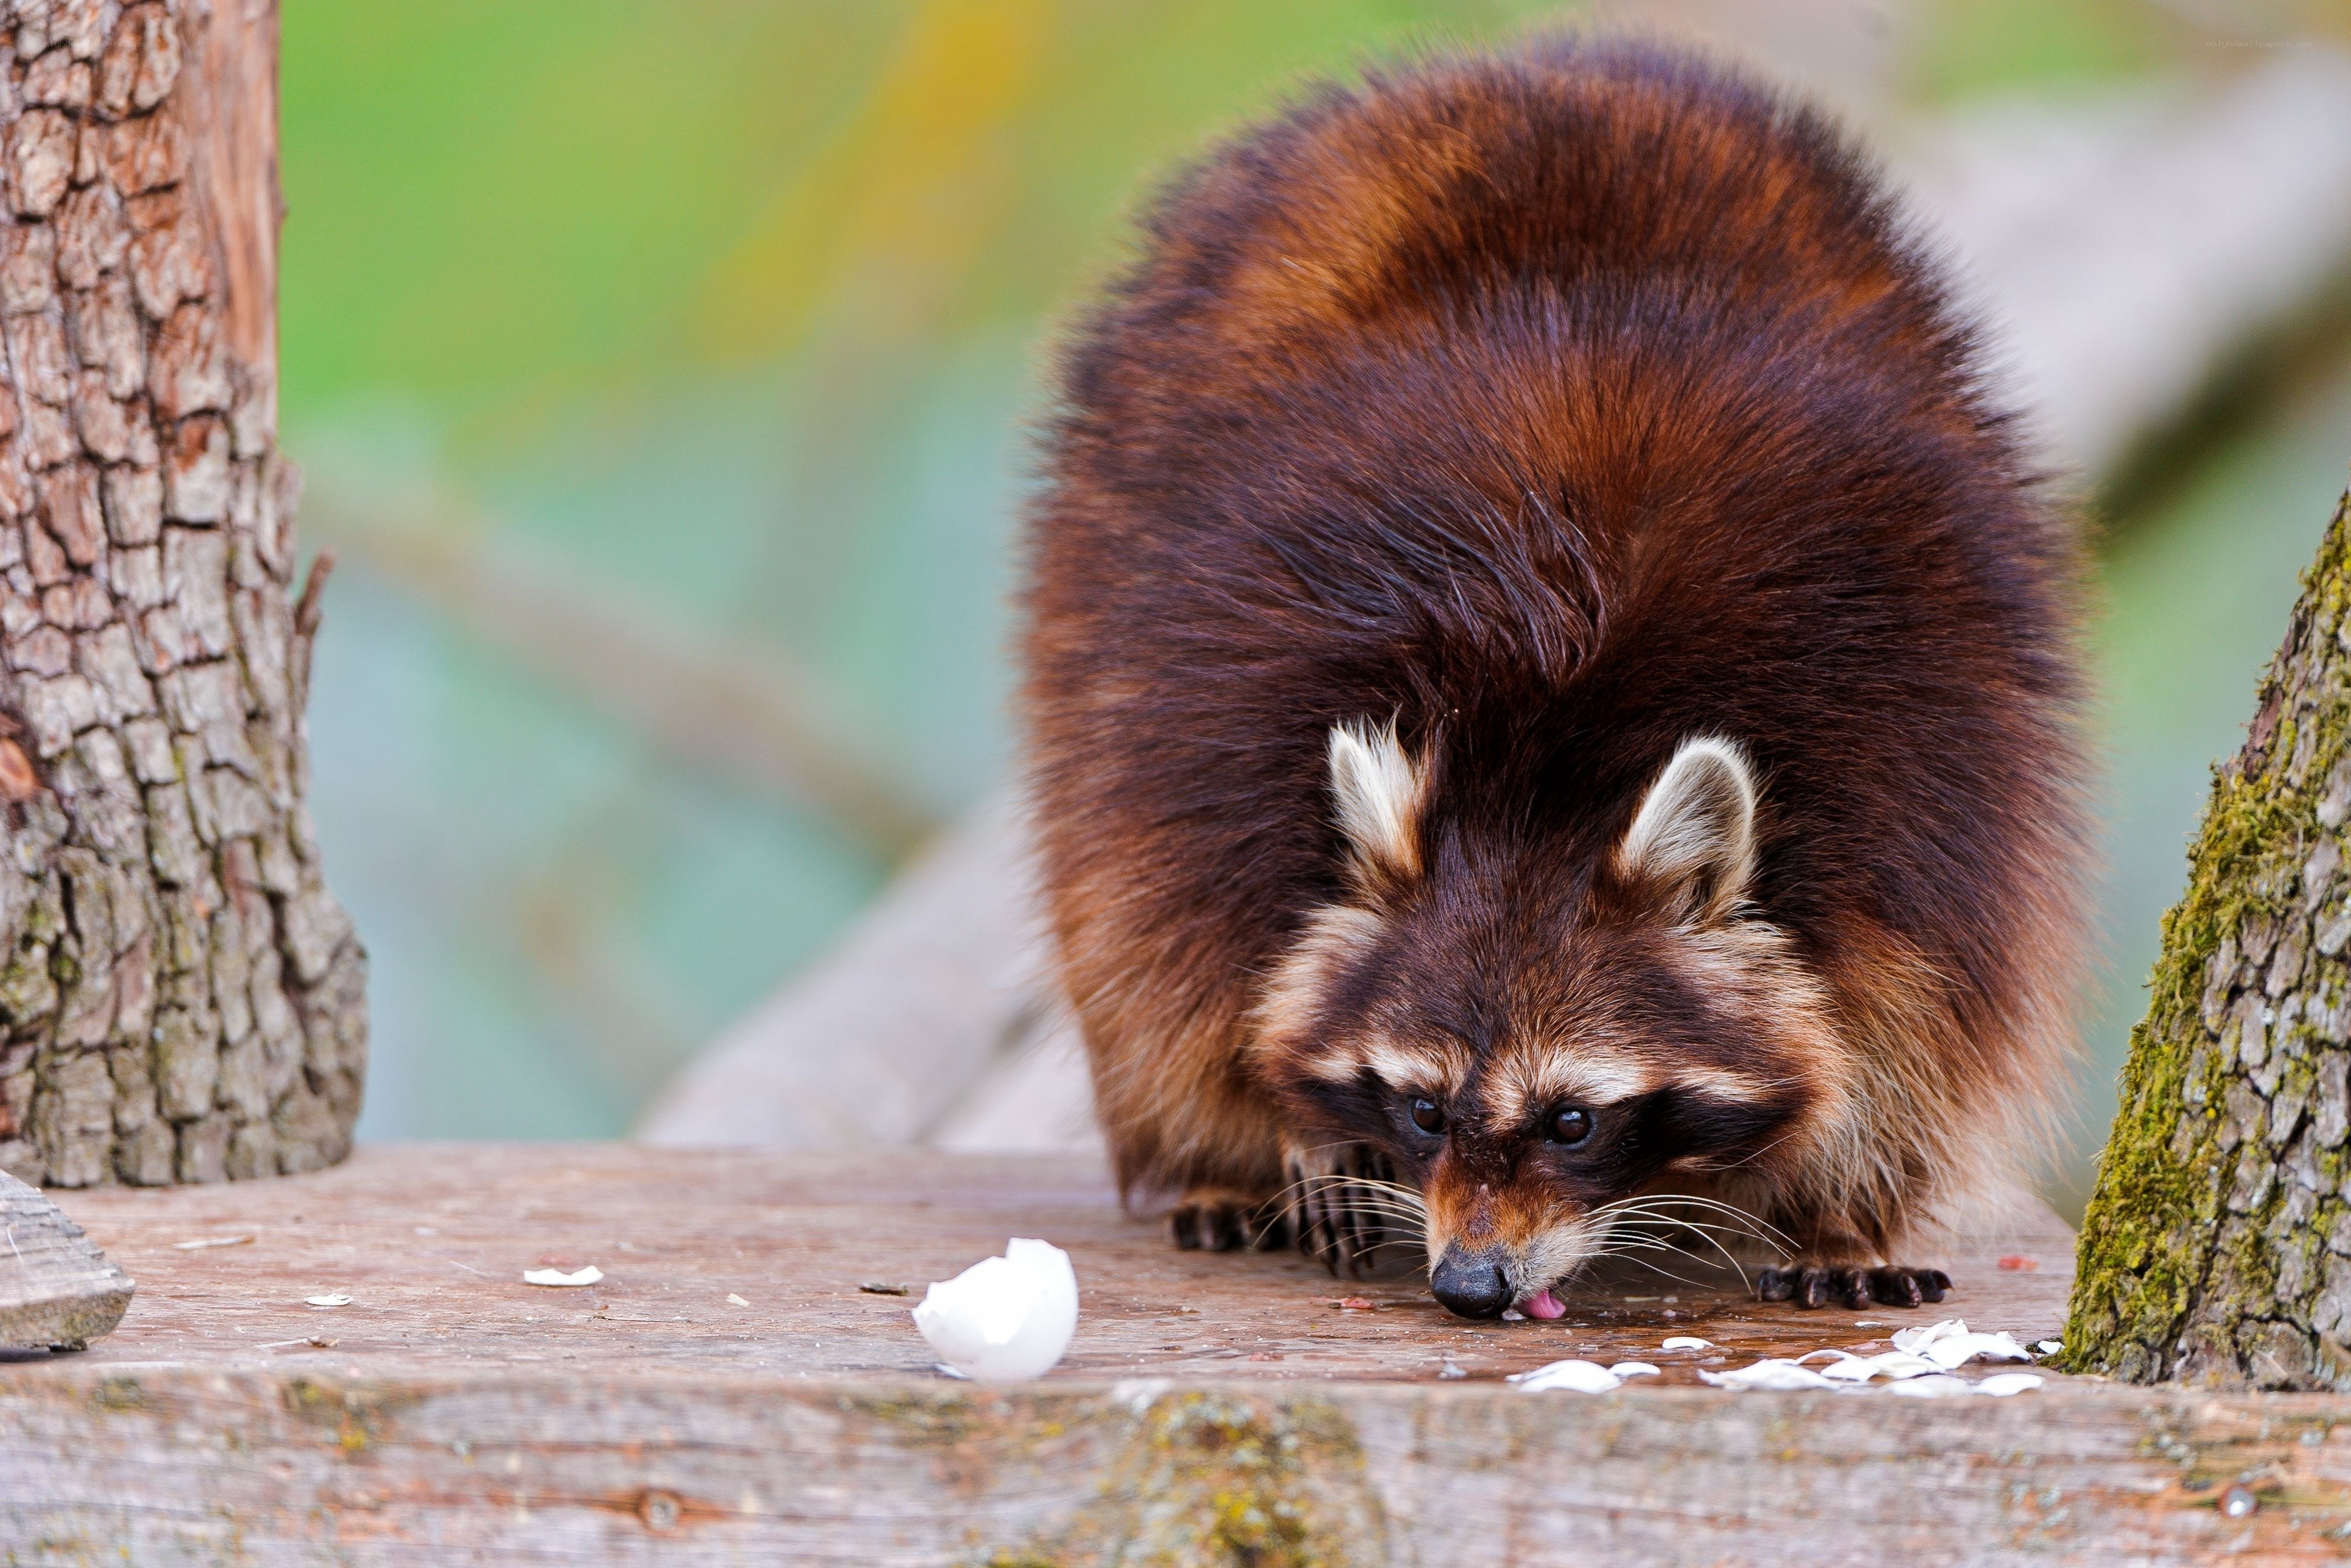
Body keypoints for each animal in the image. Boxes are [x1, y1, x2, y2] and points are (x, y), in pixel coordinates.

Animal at [1017, 37, 2088, 1315]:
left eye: (1572, 1120)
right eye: (1424, 1108)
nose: (1471, 1284)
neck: (1542, 774)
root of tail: (1531, 67)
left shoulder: (1916, 729)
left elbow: (1918, 992)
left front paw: (1845, 1198)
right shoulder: (1221, 693)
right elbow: (1192, 930)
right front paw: (1297, 1128)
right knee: (1123, 932)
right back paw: (1217, 1157)